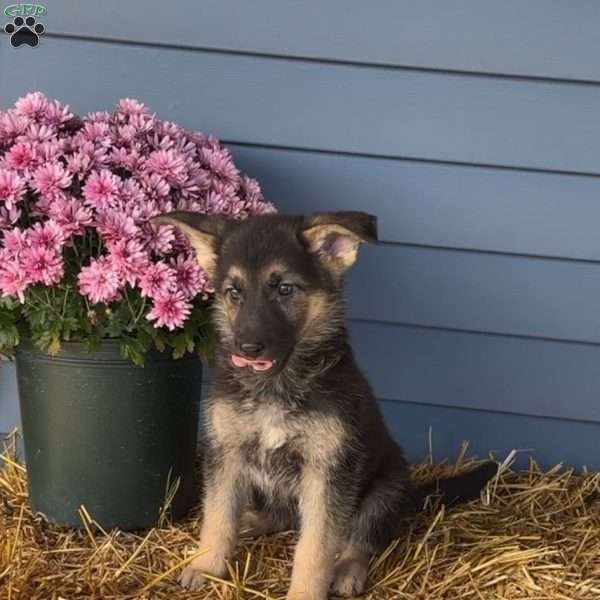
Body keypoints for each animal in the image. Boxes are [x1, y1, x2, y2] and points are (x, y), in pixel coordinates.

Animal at [151, 209, 496, 596]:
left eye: (285, 289)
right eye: (233, 292)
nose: (247, 348)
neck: (276, 387)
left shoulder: (328, 471)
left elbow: (315, 547)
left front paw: (304, 593)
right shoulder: (227, 453)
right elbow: (219, 515)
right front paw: (208, 565)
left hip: (385, 490)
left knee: (360, 537)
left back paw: (347, 570)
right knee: (275, 516)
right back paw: (251, 521)